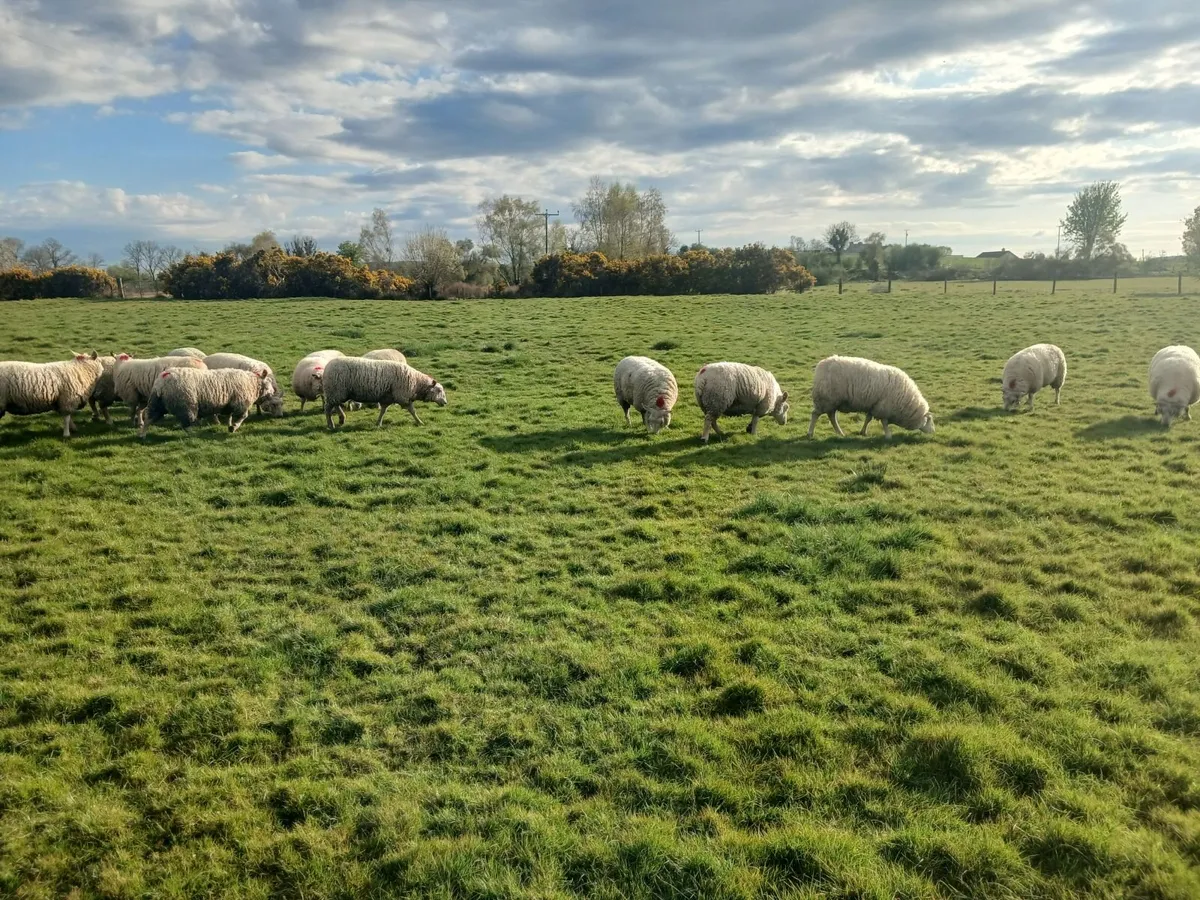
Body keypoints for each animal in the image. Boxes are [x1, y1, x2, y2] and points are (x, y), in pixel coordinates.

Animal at [141, 367, 276, 437]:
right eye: (268, 383)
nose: (273, 392)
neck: (252, 382)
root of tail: (162, 381)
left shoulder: (230, 403)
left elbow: (229, 416)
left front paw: (229, 426)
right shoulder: (240, 403)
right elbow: (243, 416)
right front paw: (234, 427)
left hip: (156, 403)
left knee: (148, 418)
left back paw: (142, 435)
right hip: (186, 404)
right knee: (186, 424)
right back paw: (193, 434)